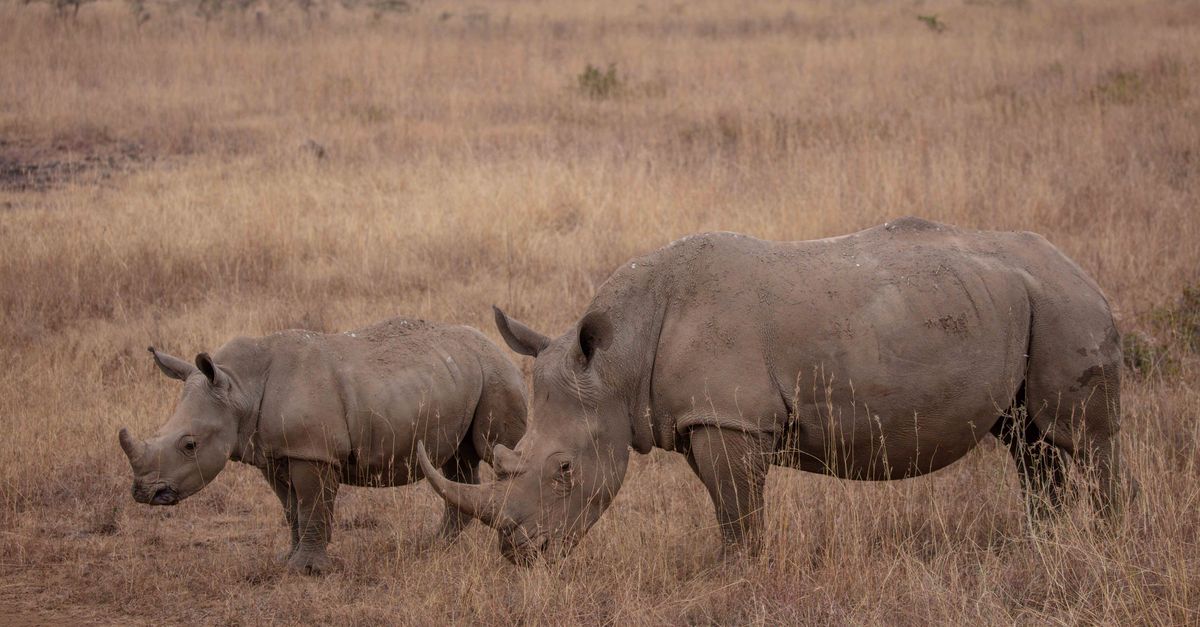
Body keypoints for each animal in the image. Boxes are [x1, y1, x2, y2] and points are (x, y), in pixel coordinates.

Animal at [119, 317, 526, 574]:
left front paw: (308, 570)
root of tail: (494, 343)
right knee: (456, 464)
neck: (238, 388)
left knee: (498, 450)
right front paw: (288, 560)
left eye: (189, 445)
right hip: (457, 377)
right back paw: (435, 547)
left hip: (496, 374)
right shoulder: (273, 453)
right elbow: (292, 509)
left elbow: (312, 505)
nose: (144, 493)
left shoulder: (311, 451)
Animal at [418, 217, 1131, 565]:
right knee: (1029, 444)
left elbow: (737, 511)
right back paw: (1043, 544)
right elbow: (729, 506)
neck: (618, 360)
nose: (517, 554)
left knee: (1084, 440)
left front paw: (733, 576)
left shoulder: (729, 419)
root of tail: (1083, 271)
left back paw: (1107, 539)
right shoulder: (708, 419)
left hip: (1066, 308)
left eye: (564, 469)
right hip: (1022, 305)